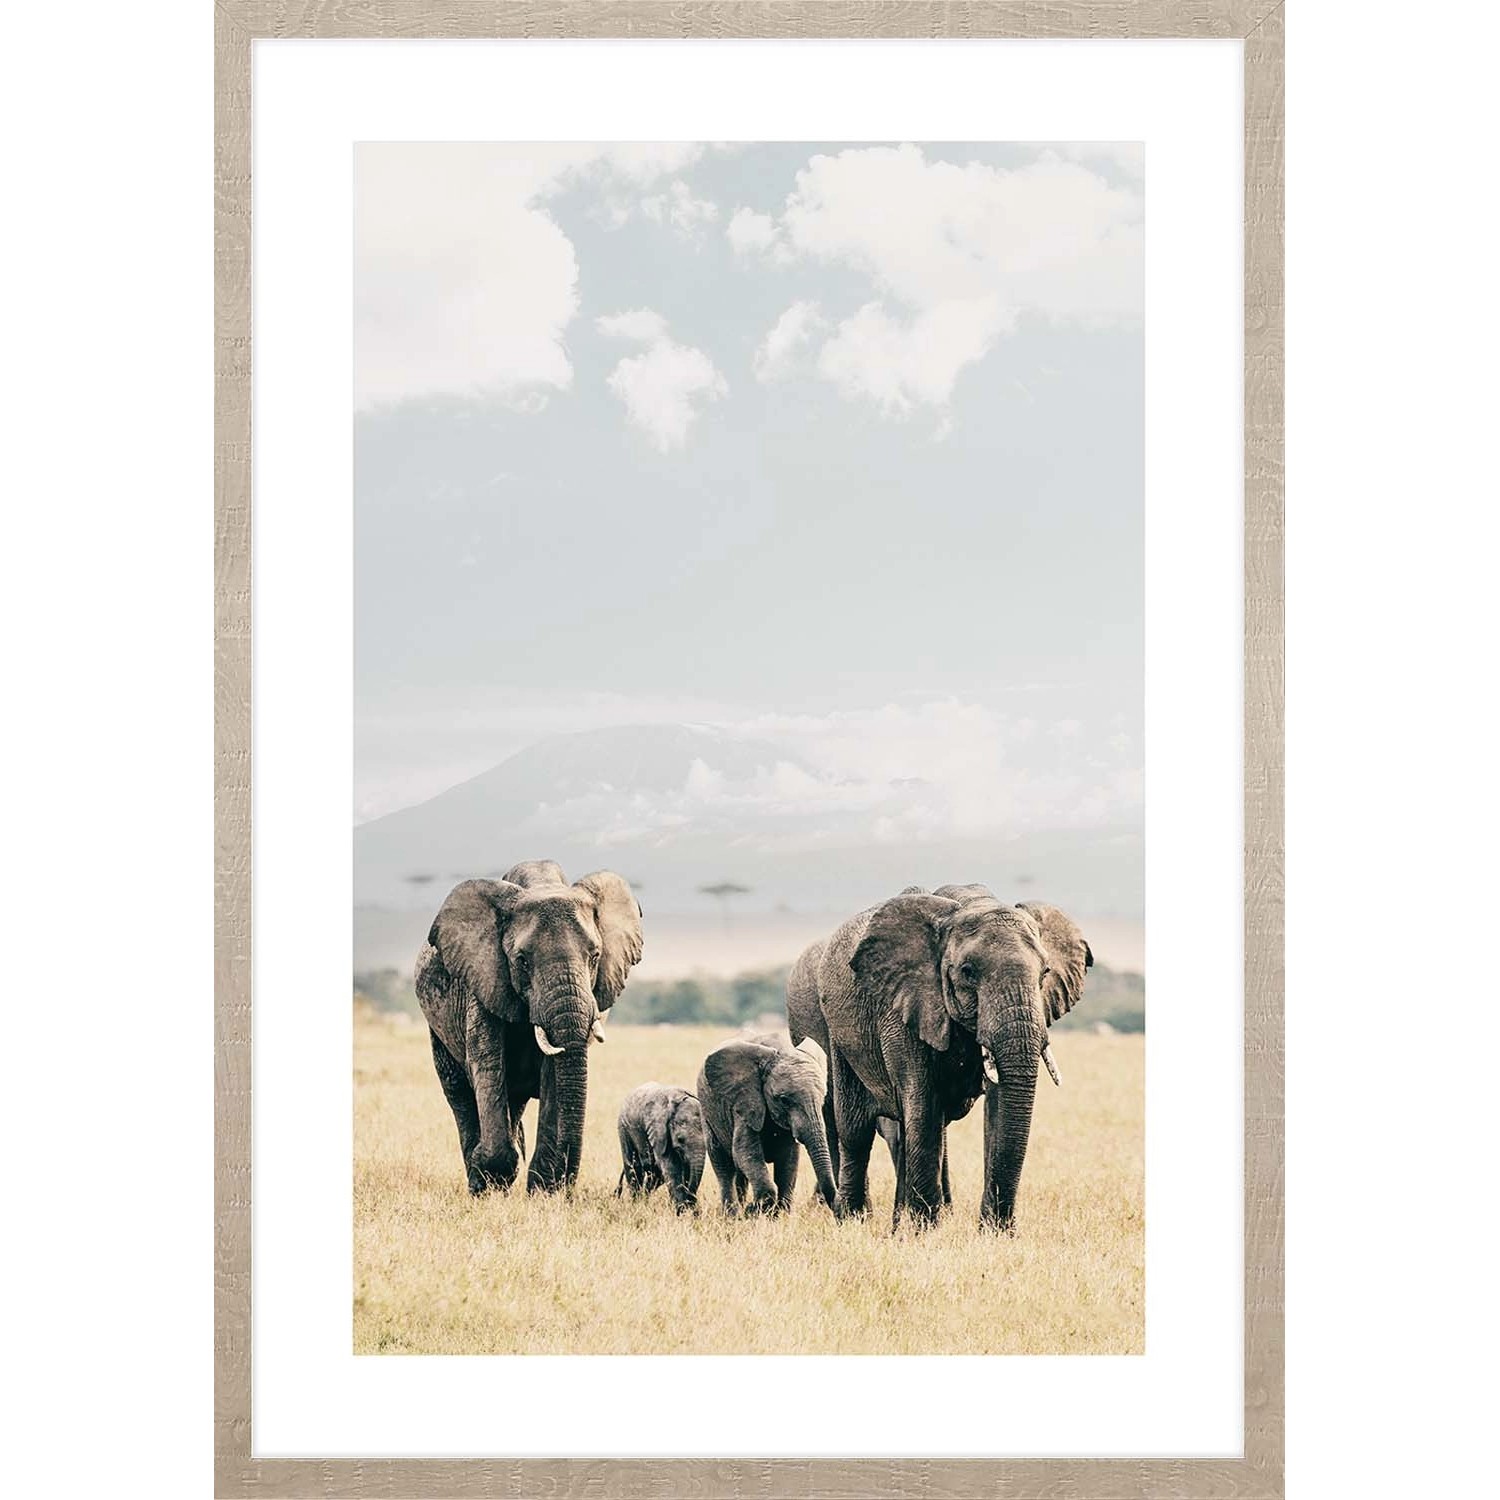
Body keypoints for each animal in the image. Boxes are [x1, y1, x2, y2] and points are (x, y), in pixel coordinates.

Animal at [414, 859, 643, 1195]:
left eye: (595, 957)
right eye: (522, 961)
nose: (568, 1185)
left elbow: (554, 1075)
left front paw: (544, 1189)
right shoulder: (482, 981)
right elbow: (487, 1065)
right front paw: (492, 1178)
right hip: (438, 1030)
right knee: (460, 1092)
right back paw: (478, 1180)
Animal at [616, 1083, 706, 1212]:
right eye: (680, 1139)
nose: (695, 1209)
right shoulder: (659, 1132)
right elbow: (671, 1168)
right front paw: (681, 1211)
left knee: (655, 1176)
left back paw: (644, 1202)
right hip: (624, 1128)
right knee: (634, 1169)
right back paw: (636, 1205)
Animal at [696, 1034, 839, 1215]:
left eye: (823, 1097)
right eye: (784, 1100)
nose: (836, 1206)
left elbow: (789, 1159)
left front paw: (779, 1215)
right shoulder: (745, 1103)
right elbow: (745, 1151)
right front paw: (754, 1210)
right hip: (707, 1113)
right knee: (723, 1166)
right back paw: (732, 1215)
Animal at [810, 883, 1091, 1230]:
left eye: (1045, 972)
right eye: (968, 972)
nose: (1001, 1225)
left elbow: (997, 1107)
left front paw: (995, 1233)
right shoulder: (904, 1006)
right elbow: (922, 1103)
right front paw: (926, 1232)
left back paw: (896, 1227)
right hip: (836, 1031)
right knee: (856, 1127)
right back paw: (853, 1222)